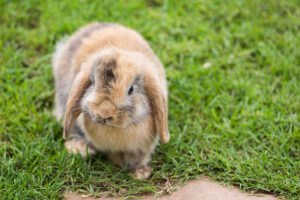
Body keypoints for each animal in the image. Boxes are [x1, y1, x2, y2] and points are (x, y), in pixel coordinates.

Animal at [51, 22, 169, 179]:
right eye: (93, 83)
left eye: (131, 89)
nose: (104, 114)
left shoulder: (142, 147)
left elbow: (138, 158)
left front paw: (140, 173)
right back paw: (78, 148)